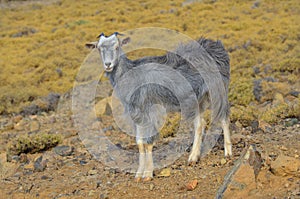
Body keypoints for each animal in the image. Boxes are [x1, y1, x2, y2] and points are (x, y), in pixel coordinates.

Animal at [85, 32, 231, 182]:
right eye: (99, 48)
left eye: (117, 46)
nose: (108, 64)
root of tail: (216, 45)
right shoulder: (136, 113)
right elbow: (139, 142)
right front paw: (139, 174)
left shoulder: (152, 110)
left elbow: (148, 141)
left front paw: (148, 174)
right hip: (196, 99)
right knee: (200, 124)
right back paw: (193, 157)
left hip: (218, 89)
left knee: (224, 117)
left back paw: (228, 153)